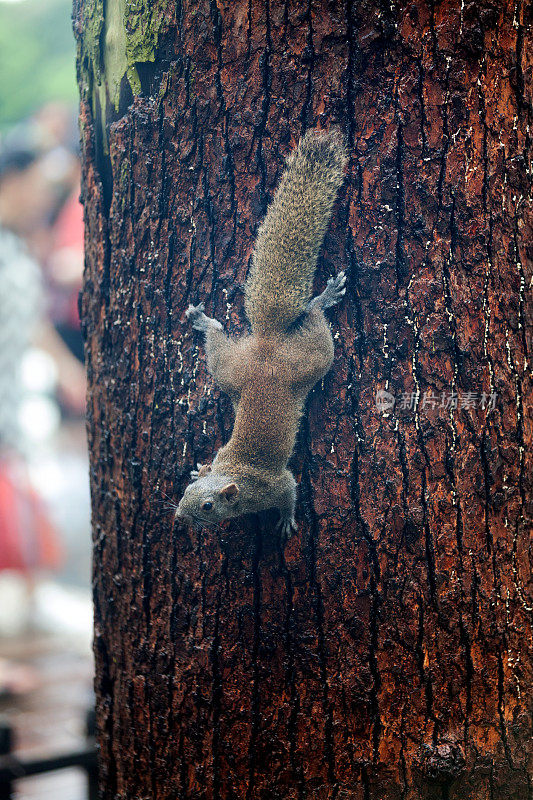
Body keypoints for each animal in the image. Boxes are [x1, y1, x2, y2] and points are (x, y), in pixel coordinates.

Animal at [177, 131, 348, 536]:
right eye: (186, 491)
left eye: (207, 506)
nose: (179, 517)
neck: (234, 474)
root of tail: (267, 344)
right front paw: (198, 465)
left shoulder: (274, 485)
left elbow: (289, 492)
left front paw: (286, 521)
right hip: (231, 372)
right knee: (221, 336)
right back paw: (204, 321)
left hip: (309, 360)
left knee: (314, 318)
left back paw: (325, 297)